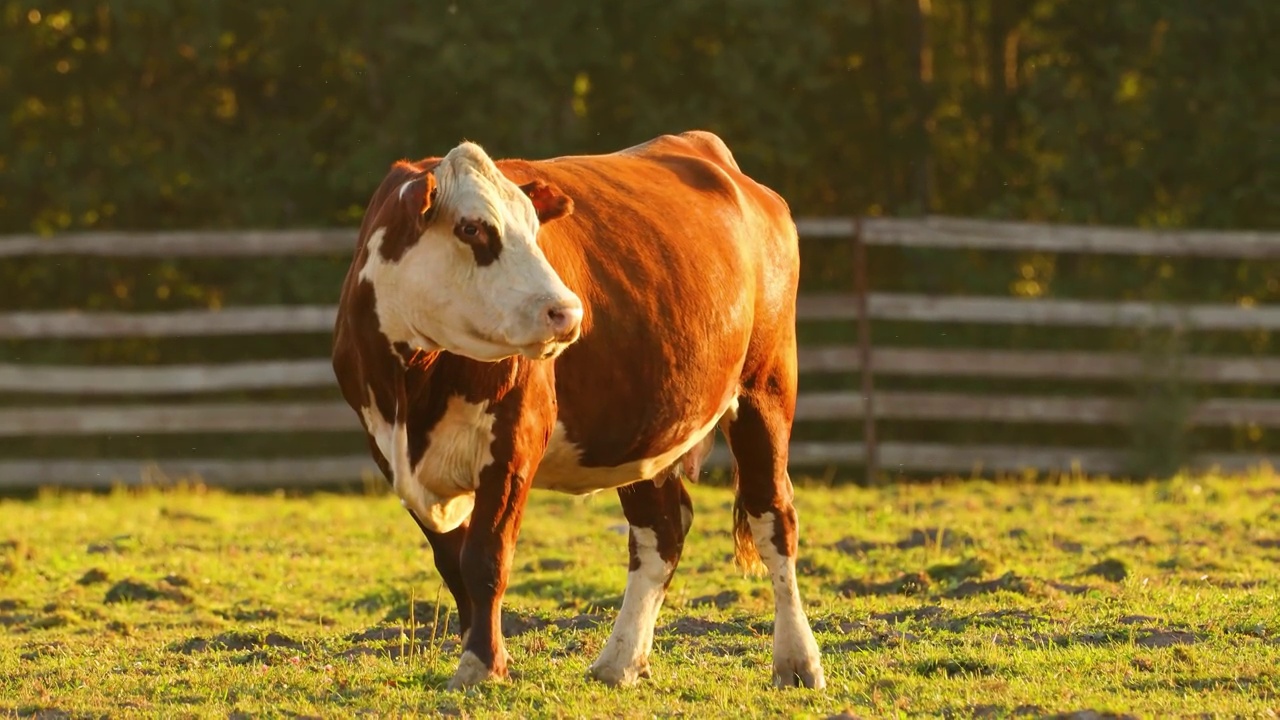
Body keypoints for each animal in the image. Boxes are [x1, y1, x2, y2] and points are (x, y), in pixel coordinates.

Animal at [330, 130, 824, 691]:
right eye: (471, 227)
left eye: (534, 229)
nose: (566, 312)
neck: (413, 385)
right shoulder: (390, 453)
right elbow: (454, 566)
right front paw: (481, 654)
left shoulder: (514, 444)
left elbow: (486, 559)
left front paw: (482, 664)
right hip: (644, 430)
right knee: (661, 533)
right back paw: (620, 661)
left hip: (766, 388)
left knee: (773, 517)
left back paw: (797, 660)